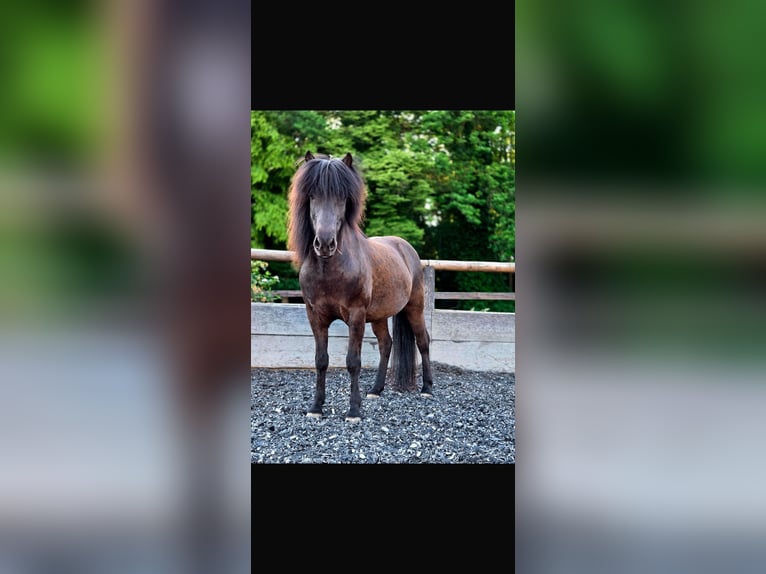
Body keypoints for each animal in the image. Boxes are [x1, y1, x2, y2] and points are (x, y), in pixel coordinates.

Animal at [287, 151, 433, 422]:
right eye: (312, 195)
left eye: (342, 197)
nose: (325, 244)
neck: (330, 270)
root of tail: (405, 247)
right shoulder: (315, 316)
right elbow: (320, 360)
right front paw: (316, 407)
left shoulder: (356, 315)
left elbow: (353, 361)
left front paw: (354, 410)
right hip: (379, 316)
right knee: (386, 344)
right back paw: (376, 390)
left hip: (414, 308)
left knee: (423, 341)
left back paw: (427, 389)